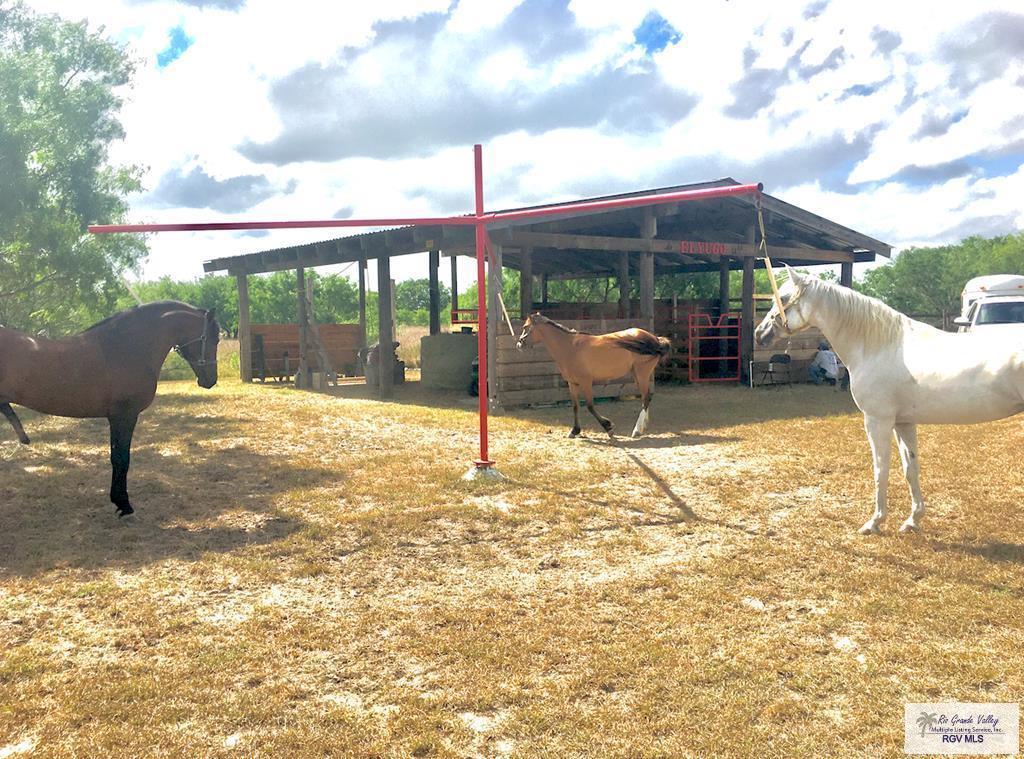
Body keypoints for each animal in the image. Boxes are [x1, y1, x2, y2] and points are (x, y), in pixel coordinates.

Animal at [1, 301, 218, 514]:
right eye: (214, 338)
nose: (211, 380)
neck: (124, 347)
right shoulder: (125, 416)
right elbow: (121, 459)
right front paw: (124, 504)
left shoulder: (116, 418)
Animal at [512, 311, 671, 434]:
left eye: (525, 327)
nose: (519, 344)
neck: (570, 347)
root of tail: (655, 339)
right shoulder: (573, 383)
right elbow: (575, 406)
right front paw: (575, 431)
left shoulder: (586, 382)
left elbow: (590, 406)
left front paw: (608, 427)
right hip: (638, 375)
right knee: (646, 398)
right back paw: (643, 426)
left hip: (642, 374)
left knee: (645, 398)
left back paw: (637, 430)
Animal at [753, 266, 1024, 532]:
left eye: (783, 298)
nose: (759, 333)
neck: (878, 346)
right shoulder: (903, 422)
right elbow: (910, 468)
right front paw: (913, 520)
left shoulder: (877, 421)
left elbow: (880, 470)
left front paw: (875, 522)